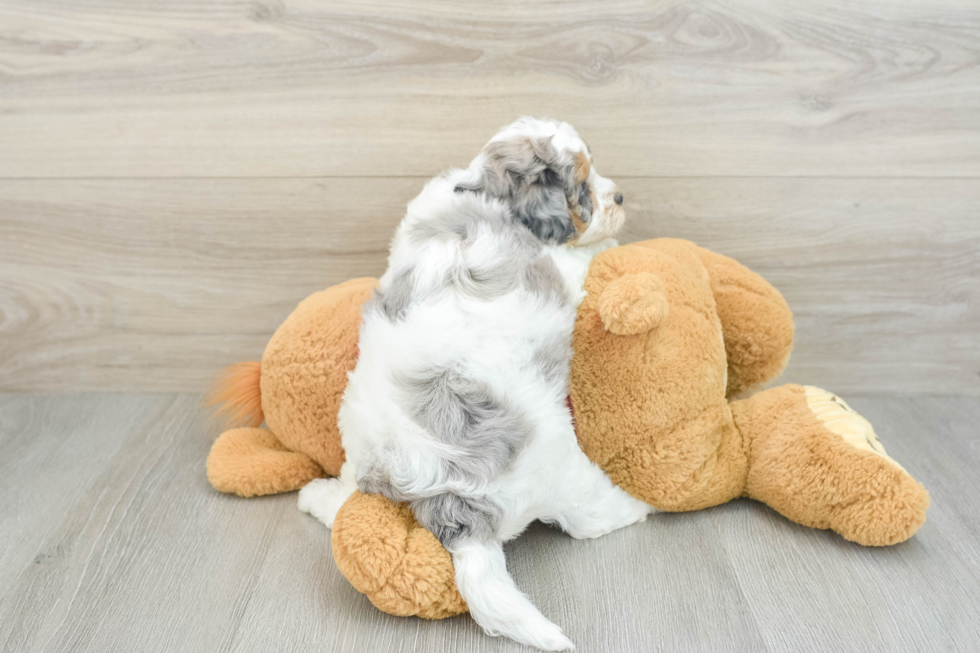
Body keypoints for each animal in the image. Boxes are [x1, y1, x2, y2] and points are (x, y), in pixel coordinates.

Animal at [298, 116, 652, 648]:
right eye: (582, 186)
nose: (622, 197)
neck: (481, 186)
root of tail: (451, 505)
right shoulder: (561, 266)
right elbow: (584, 255)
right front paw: (605, 241)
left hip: (358, 442)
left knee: (346, 496)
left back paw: (315, 496)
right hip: (561, 469)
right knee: (588, 519)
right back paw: (640, 507)